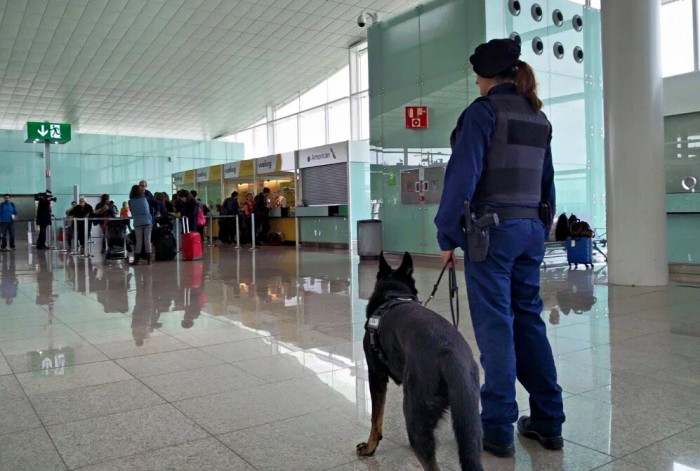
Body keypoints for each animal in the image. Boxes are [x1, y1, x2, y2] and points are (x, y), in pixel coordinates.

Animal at [358, 253, 484, 471]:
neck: (394, 296)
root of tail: (450, 354)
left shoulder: (376, 375)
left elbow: (375, 419)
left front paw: (369, 448)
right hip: (469, 423)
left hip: (415, 412)